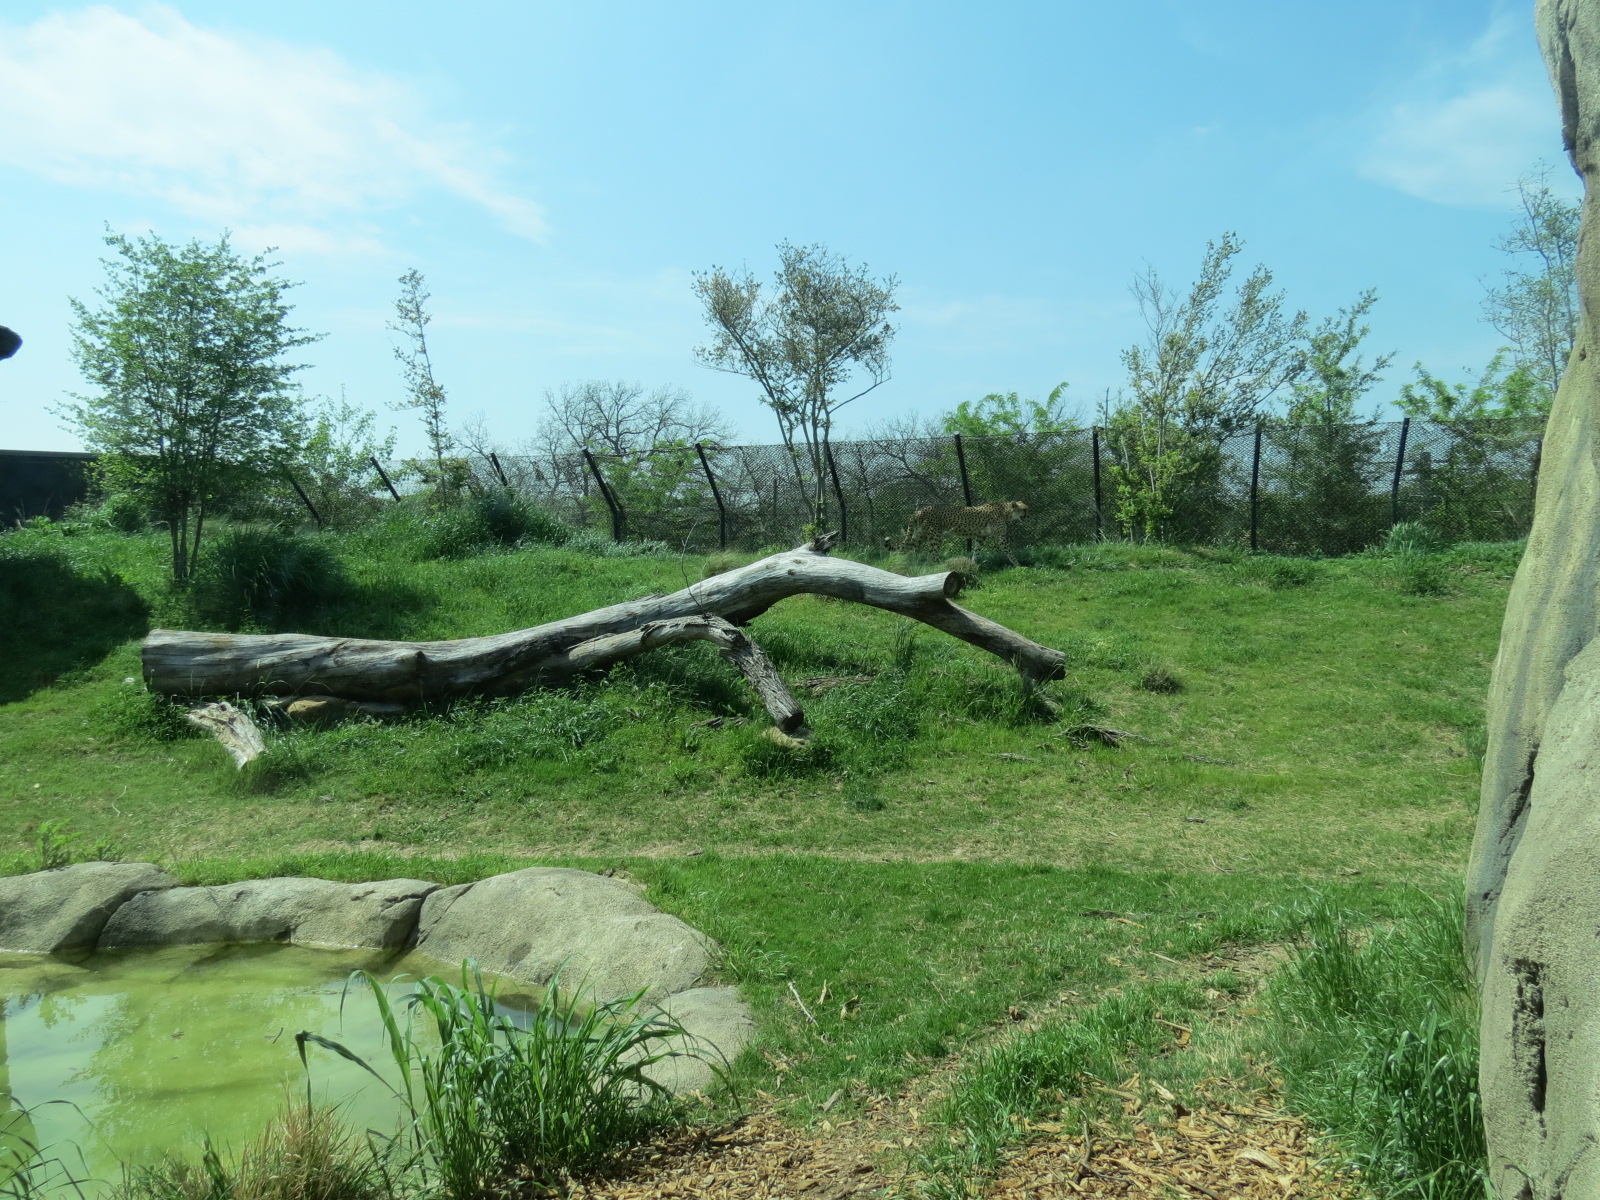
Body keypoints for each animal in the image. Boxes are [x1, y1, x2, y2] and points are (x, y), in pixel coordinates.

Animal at [901, 500, 1029, 566]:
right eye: (1024, 509)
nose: (1028, 515)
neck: (1005, 511)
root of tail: (919, 510)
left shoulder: (980, 537)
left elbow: (976, 551)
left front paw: (973, 564)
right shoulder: (1000, 538)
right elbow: (1009, 552)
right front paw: (1019, 566)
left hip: (920, 535)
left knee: (906, 547)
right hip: (935, 536)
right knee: (931, 553)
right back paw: (935, 566)